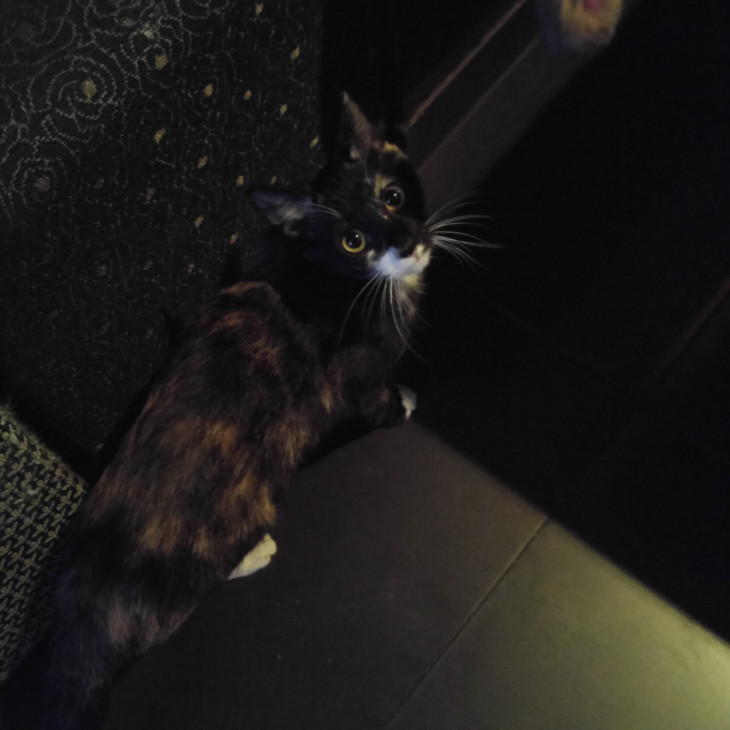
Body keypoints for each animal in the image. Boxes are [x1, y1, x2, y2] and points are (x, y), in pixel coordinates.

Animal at [0, 93, 488, 730]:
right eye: (352, 241)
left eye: (393, 196)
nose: (407, 243)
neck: (333, 278)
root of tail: (79, 619)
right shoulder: (355, 375)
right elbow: (374, 398)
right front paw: (402, 403)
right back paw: (255, 550)